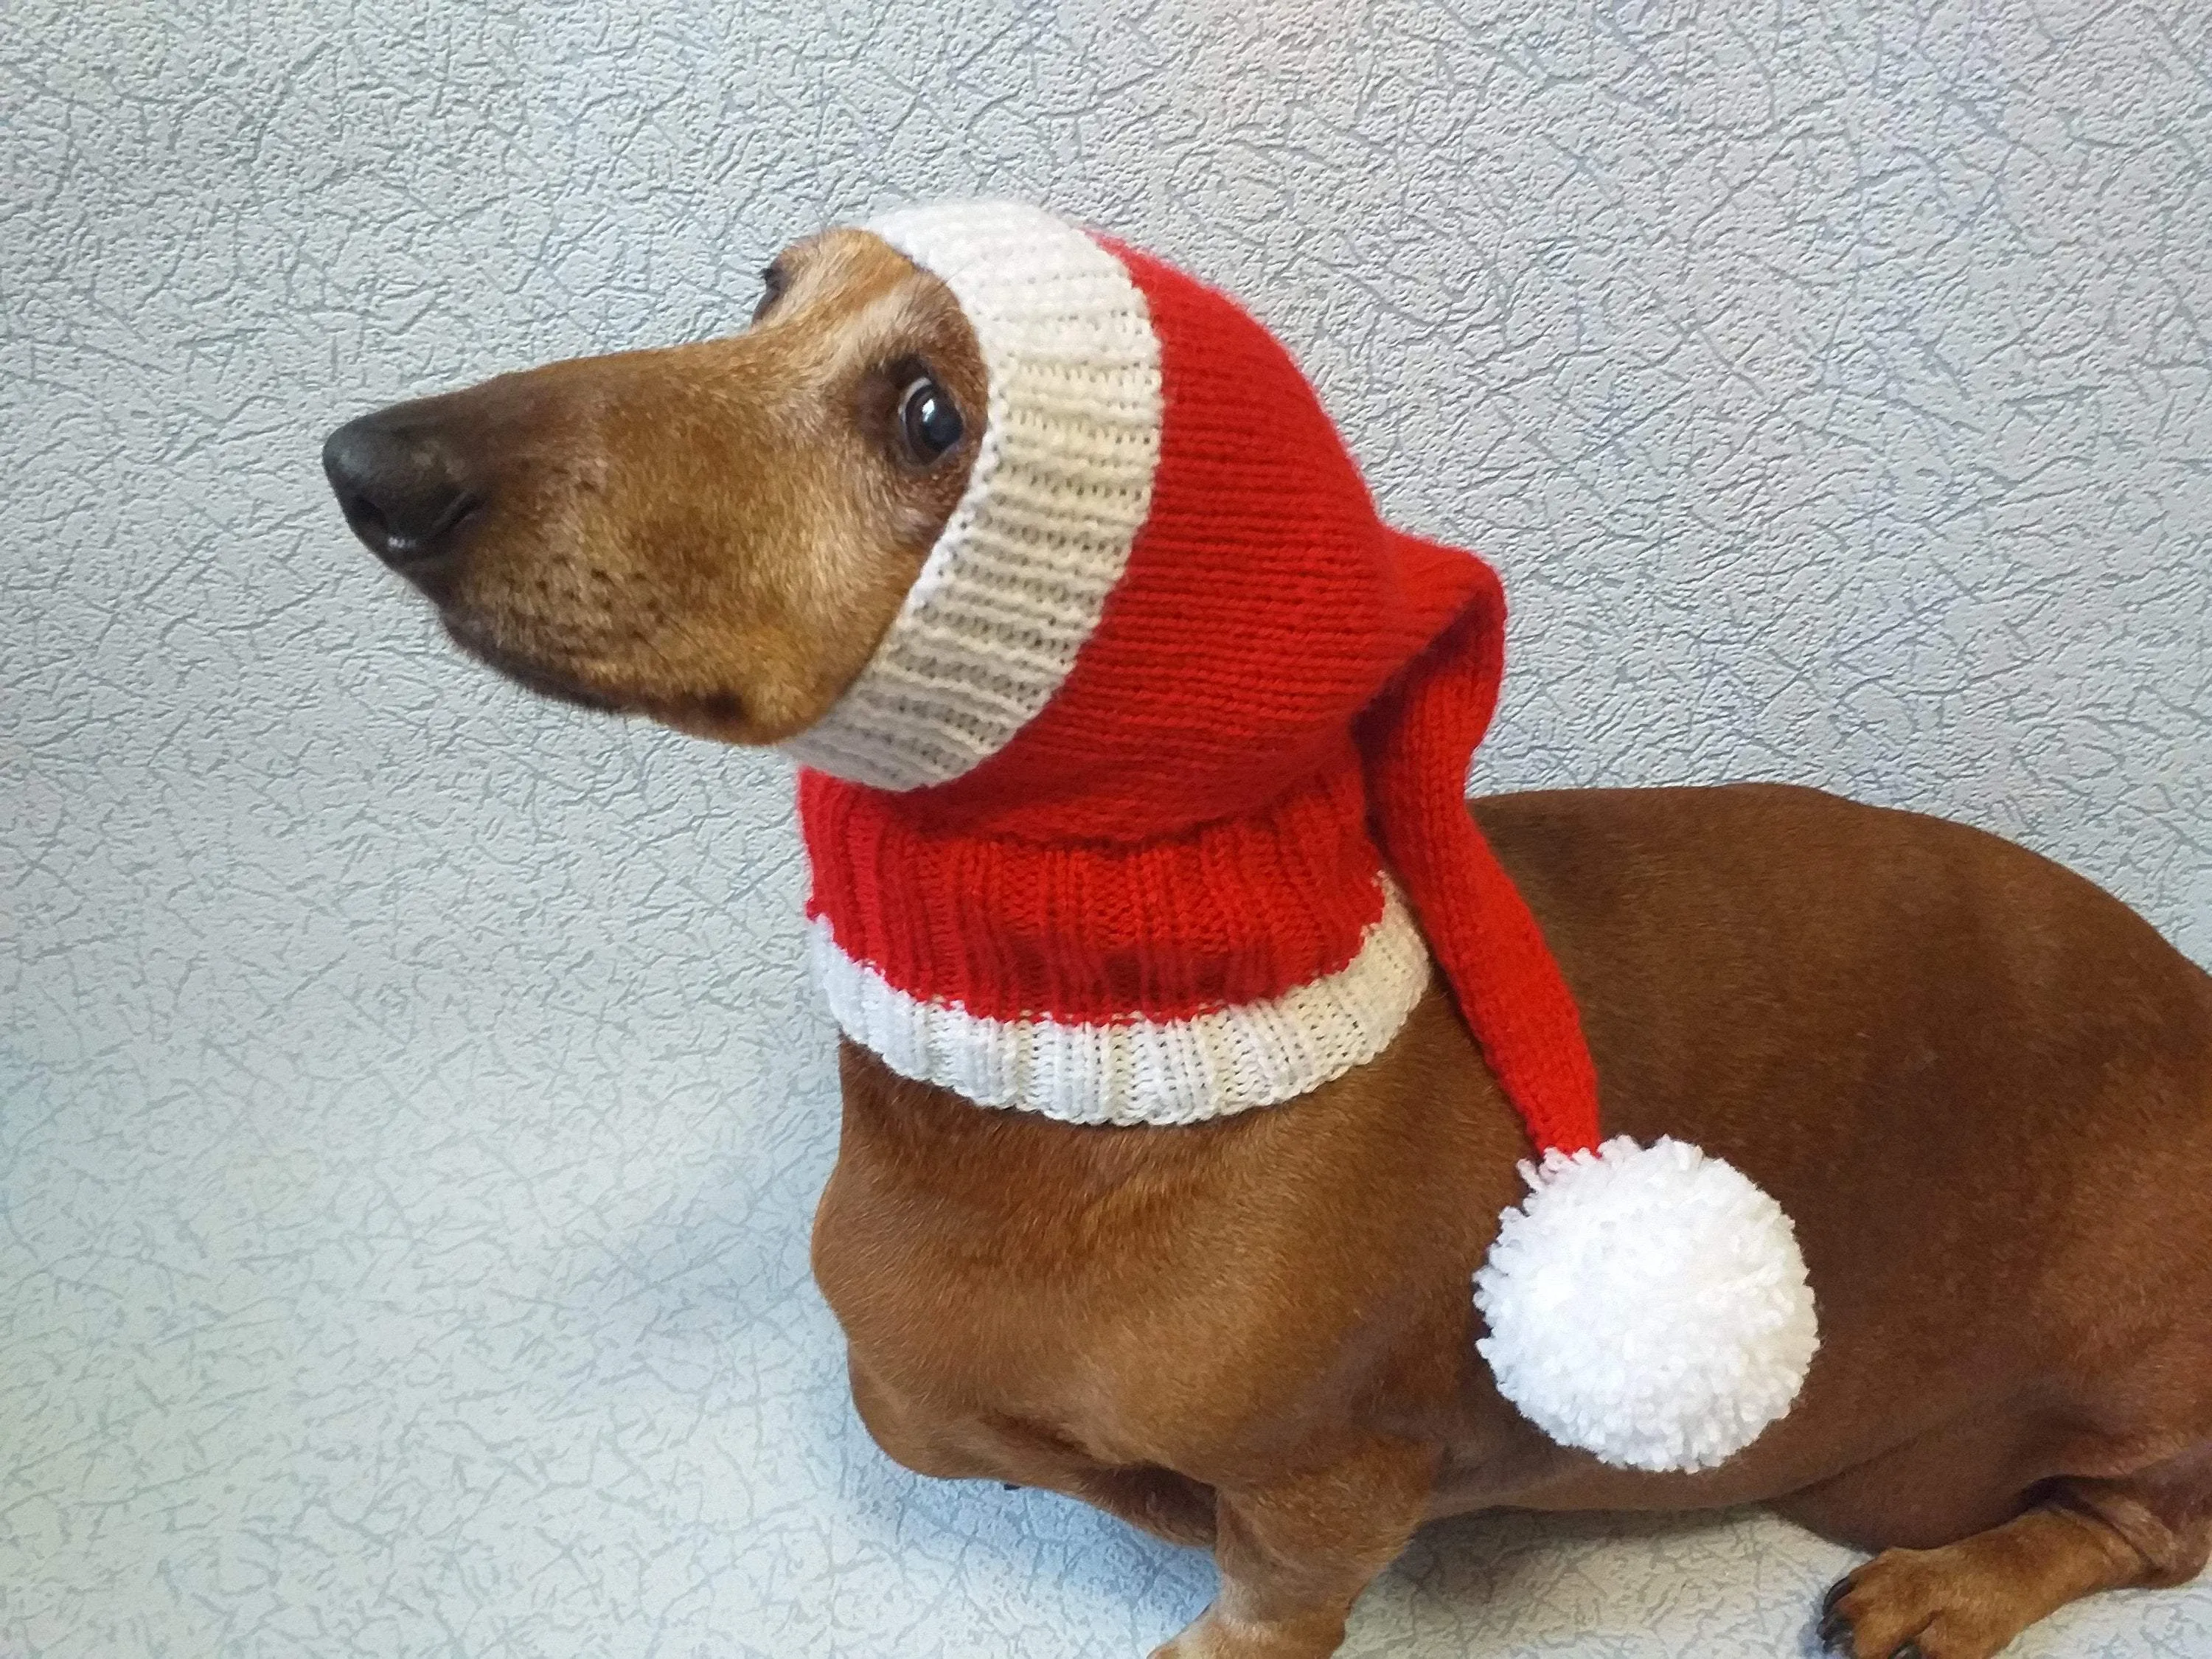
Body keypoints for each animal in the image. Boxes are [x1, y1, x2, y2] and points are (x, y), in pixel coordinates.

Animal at [323, 211, 2212, 1659]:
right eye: (765, 288)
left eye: (930, 412)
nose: (369, 463)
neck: (1093, 1087)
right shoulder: (912, 1381)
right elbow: (924, 1412)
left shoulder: (1331, 1480)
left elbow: (1267, 1587)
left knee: (2147, 1529)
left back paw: (1944, 1588)